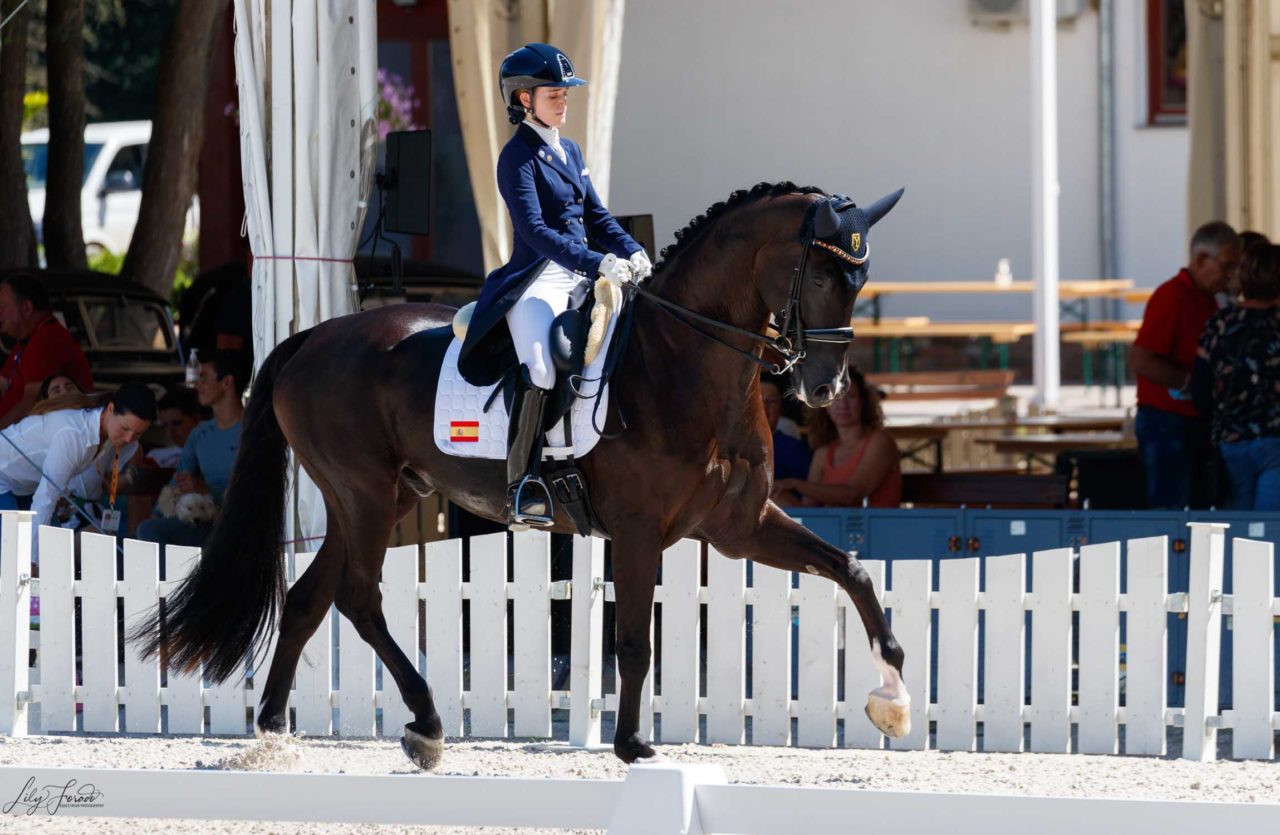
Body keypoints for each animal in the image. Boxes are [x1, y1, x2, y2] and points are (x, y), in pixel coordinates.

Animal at [132, 179, 911, 768]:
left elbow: (851, 569)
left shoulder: (739, 527)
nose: (825, 388)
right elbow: (634, 642)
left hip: (372, 496)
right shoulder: (638, 533)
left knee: (306, 599)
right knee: (357, 597)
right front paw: (632, 745)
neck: (684, 360)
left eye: (862, 277)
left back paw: (273, 730)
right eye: (820, 273)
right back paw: (425, 723)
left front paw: (895, 696)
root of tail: (311, 338)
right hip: (365, 493)